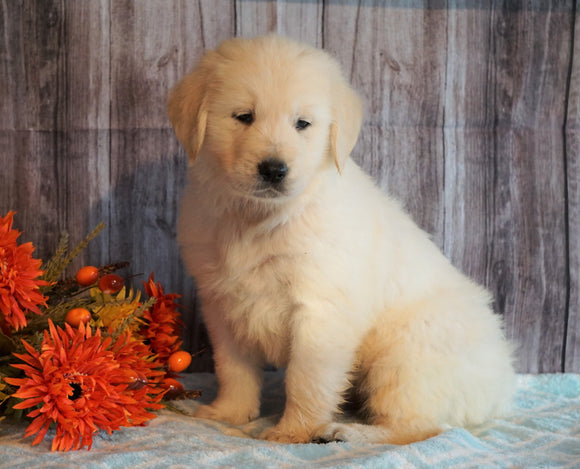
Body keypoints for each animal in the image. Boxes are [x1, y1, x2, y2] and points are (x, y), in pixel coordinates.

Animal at [169, 35, 516, 442]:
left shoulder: (321, 309)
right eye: (244, 116)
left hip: (405, 358)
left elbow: (306, 378)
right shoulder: (223, 305)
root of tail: (501, 390)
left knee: (419, 426)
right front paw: (229, 413)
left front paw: (293, 432)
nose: (274, 170)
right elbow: (233, 368)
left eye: (303, 123)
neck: (259, 218)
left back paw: (344, 432)